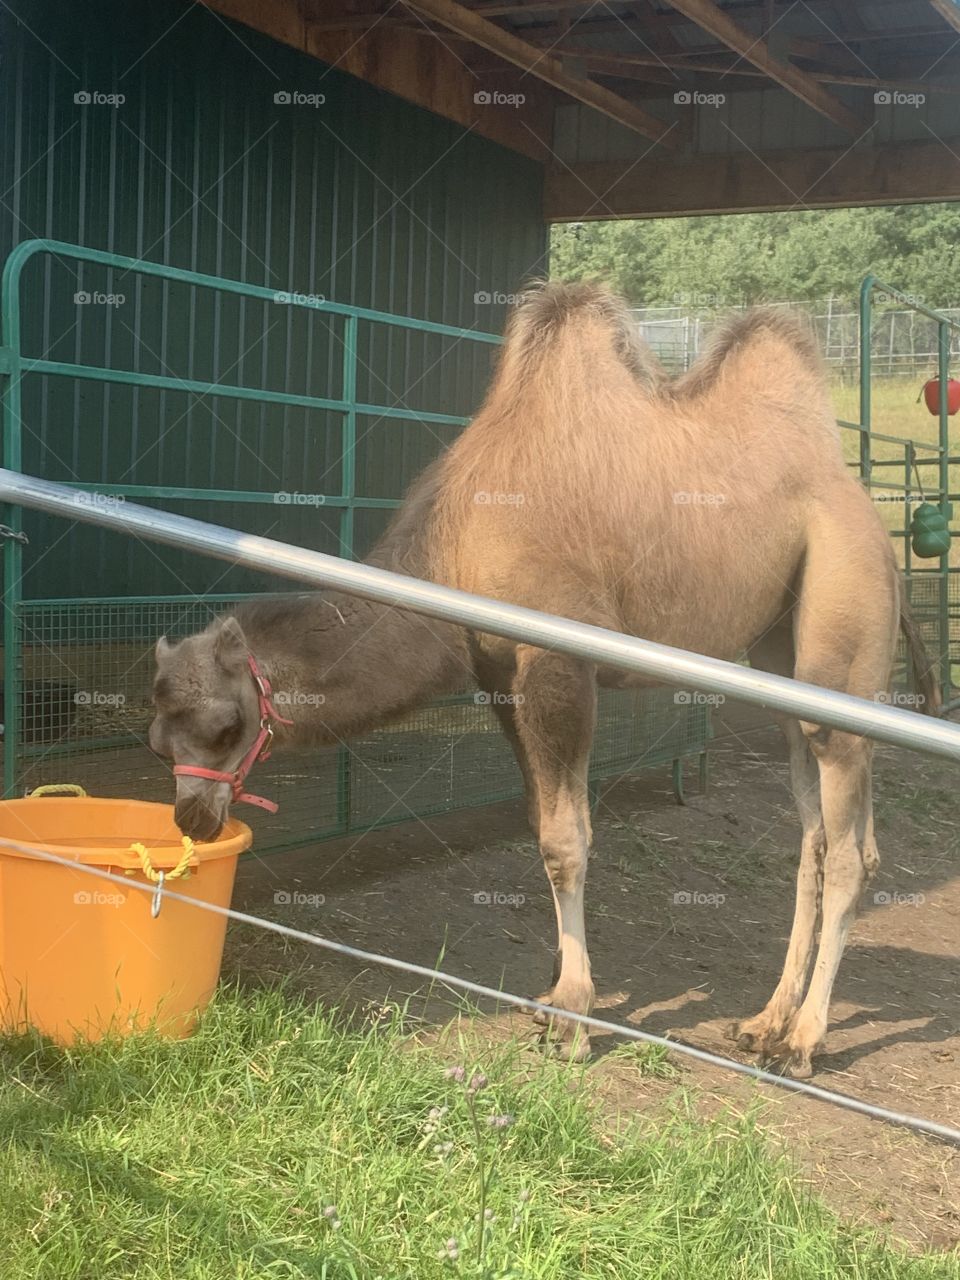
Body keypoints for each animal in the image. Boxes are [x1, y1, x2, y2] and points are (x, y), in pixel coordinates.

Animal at [150, 282, 939, 1078]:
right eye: (156, 740)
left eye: (225, 726)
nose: (191, 818)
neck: (457, 546)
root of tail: (873, 518)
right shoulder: (501, 675)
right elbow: (538, 823)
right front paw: (553, 993)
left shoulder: (558, 662)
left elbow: (565, 840)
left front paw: (573, 1017)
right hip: (782, 657)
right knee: (816, 831)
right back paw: (764, 1022)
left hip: (842, 601)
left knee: (851, 847)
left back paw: (804, 1040)